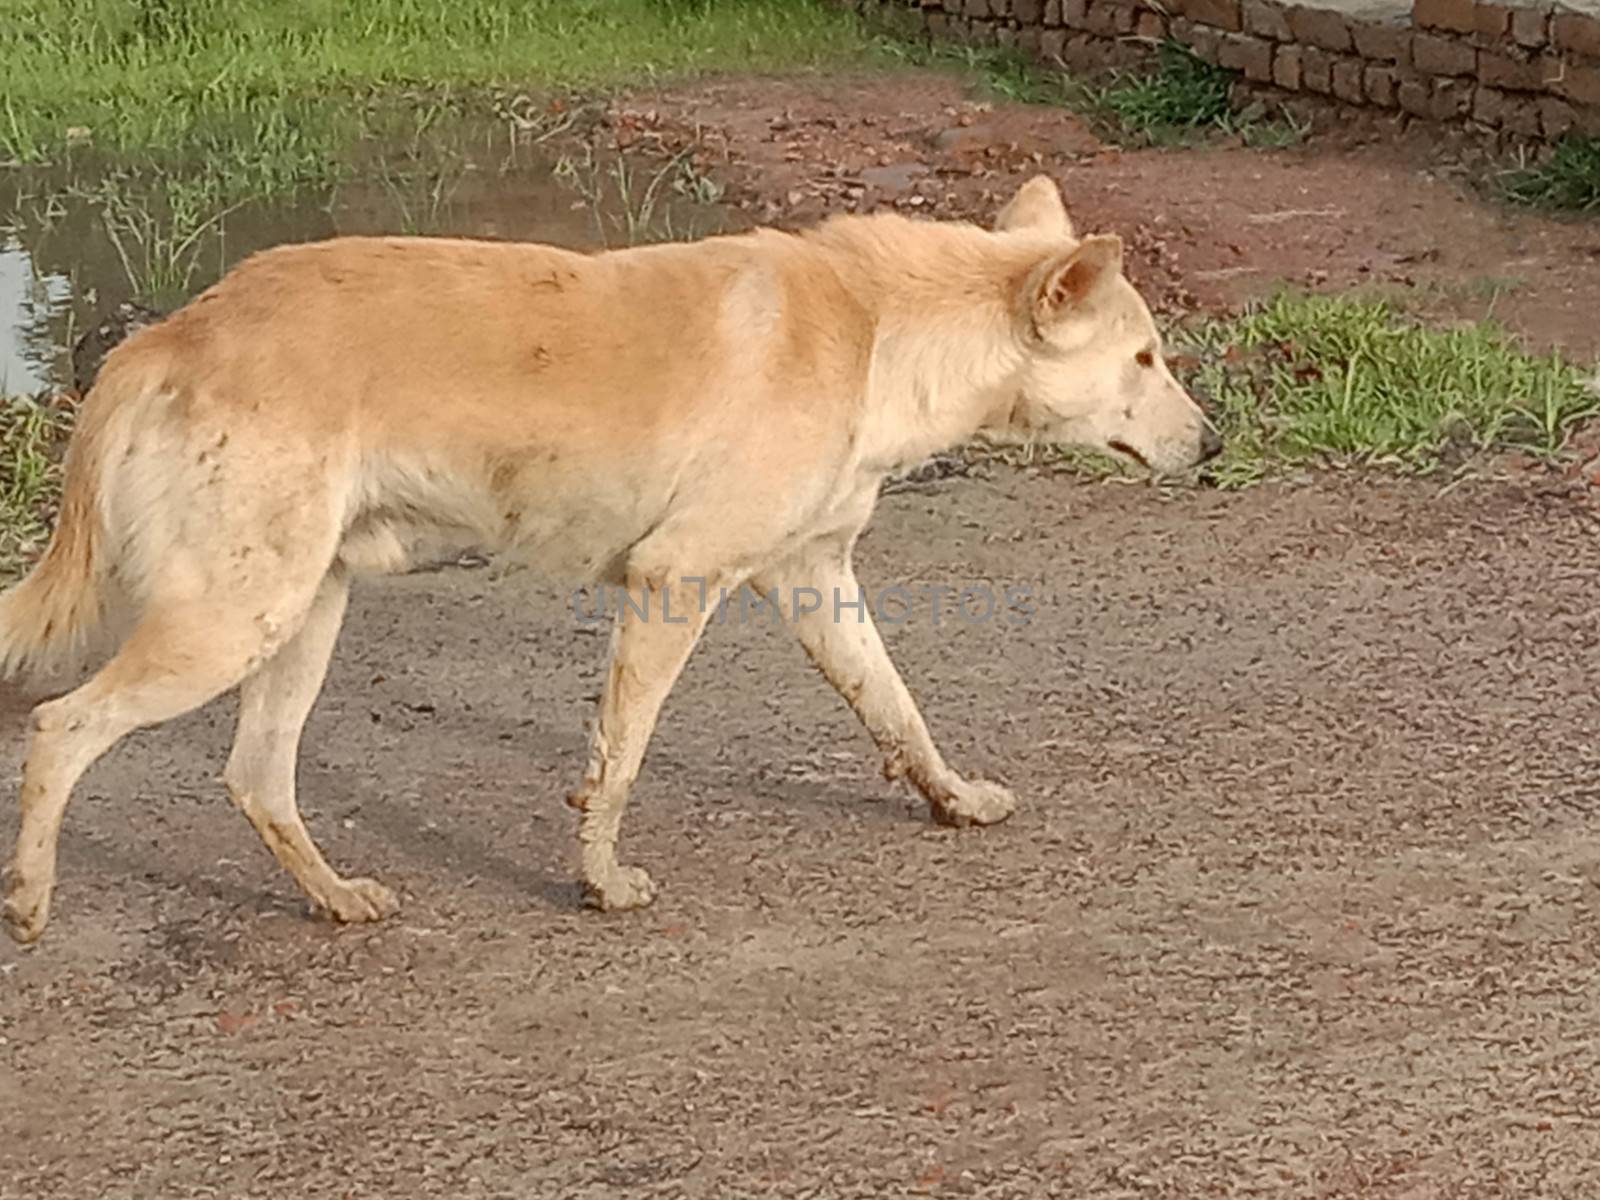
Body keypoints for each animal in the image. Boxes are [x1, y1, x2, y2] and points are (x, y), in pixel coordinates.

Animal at [0, 176, 1216, 947]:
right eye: (1145, 359)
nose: (1211, 449)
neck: (878, 329)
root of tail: (166, 335)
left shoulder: (814, 580)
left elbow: (896, 708)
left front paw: (951, 799)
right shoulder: (674, 583)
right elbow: (620, 760)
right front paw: (601, 881)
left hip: (302, 617)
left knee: (255, 780)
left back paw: (333, 900)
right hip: (228, 624)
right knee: (61, 727)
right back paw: (31, 901)